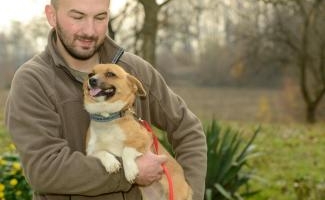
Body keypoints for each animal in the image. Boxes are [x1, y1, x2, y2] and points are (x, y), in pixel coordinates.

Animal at [82, 63, 192, 198]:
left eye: (110, 74)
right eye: (90, 74)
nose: (92, 80)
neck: (107, 118)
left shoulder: (145, 139)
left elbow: (126, 151)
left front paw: (130, 171)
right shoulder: (90, 151)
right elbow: (101, 152)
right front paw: (111, 163)